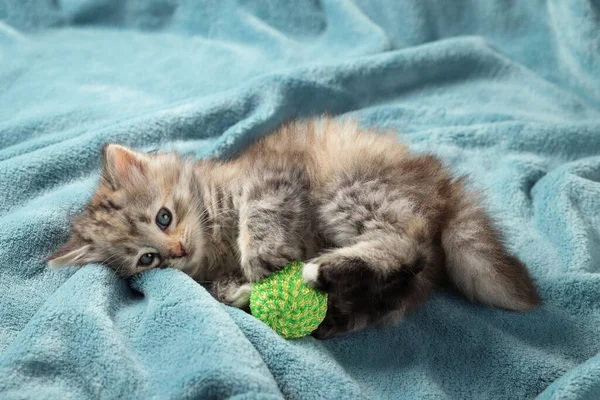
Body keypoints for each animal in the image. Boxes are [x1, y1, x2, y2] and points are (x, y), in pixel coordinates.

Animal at [49, 117, 540, 340]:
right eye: (147, 259)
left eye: (163, 217)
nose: (176, 253)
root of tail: (440, 183)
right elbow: (222, 291)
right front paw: (238, 290)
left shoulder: (275, 181)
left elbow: (259, 215)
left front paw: (259, 258)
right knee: (401, 284)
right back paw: (337, 302)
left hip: (350, 190)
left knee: (404, 244)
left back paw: (322, 272)